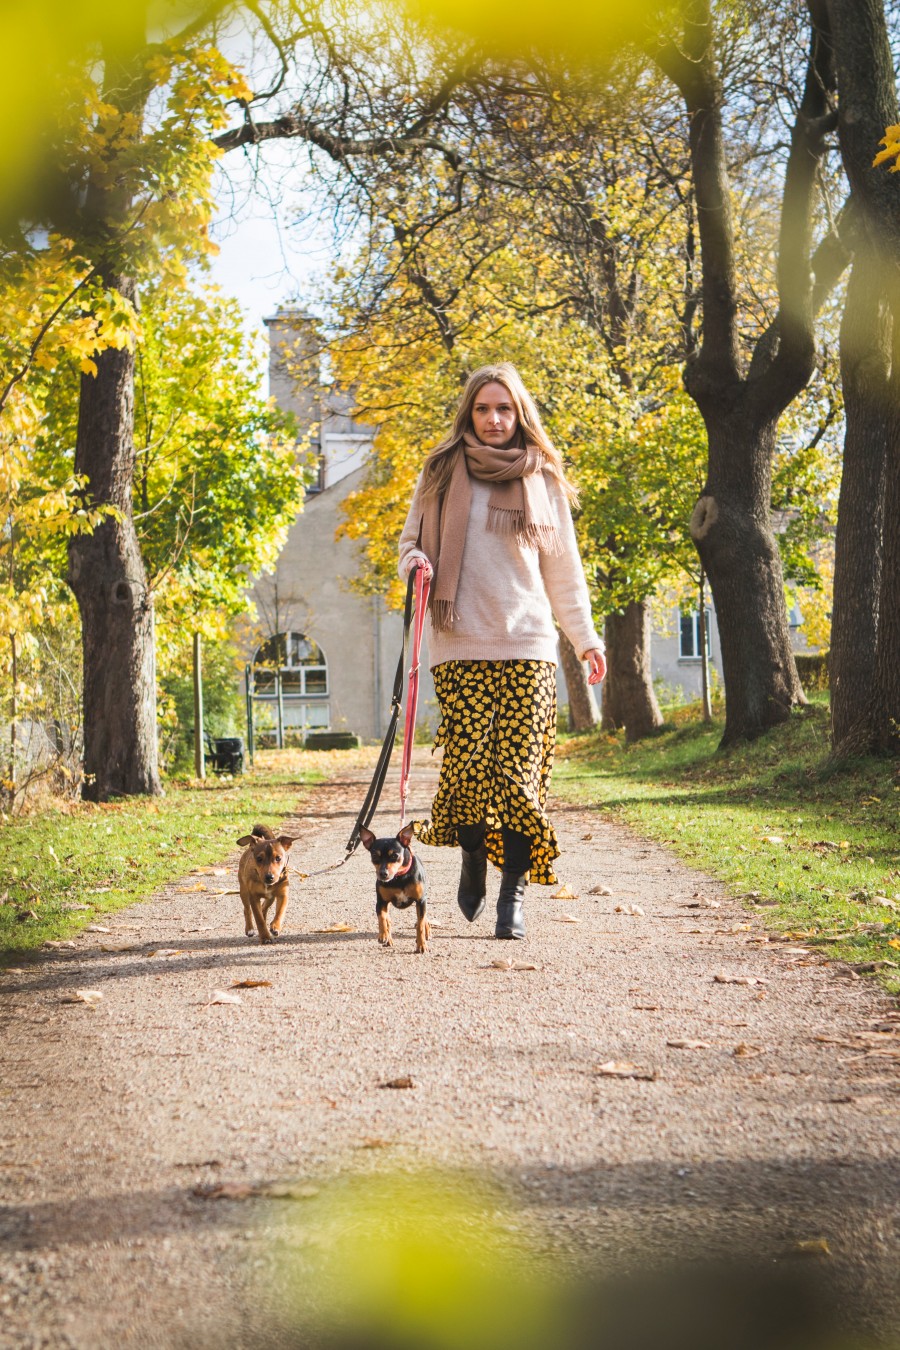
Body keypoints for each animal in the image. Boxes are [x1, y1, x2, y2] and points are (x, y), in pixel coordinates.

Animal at [236, 815, 299, 945]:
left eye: (278, 858)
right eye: (259, 859)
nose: (269, 877)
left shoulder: (283, 894)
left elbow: (280, 912)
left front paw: (275, 926)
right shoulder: (253, 896)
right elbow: (258, 918)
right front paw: (265, 937)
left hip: (270, 898)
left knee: (264, 907)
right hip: (243, 890)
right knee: (247, 909)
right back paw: (250, 929)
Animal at [356, 815, 431, 955]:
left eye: (395, 855)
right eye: (374, 856)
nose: (383, 874)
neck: (399, 878)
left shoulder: (420, 900)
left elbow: (420, 924)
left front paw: (421, 945)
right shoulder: (381, 902)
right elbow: (382, 918)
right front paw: (383, 935)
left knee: (423, 918)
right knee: (388, 919)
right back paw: (388, 938)